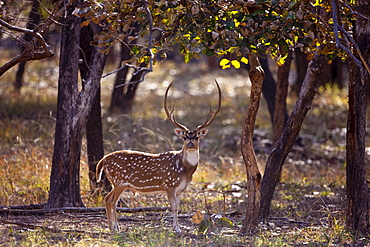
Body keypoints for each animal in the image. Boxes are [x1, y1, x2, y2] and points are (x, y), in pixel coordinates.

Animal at [97, 80, 221, 232]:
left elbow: (178, 208)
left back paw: (114, 226)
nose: (190, 143)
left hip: (117, 182)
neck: (185, 169)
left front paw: (177, 227)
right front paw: (176, 228)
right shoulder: (169, 184)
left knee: (109, 199)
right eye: (185, 137)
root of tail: (103, 160)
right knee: (111, 200)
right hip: (119, 180)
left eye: (197, 136)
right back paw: (114, 227)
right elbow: (173, 208)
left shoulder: (180, 189)